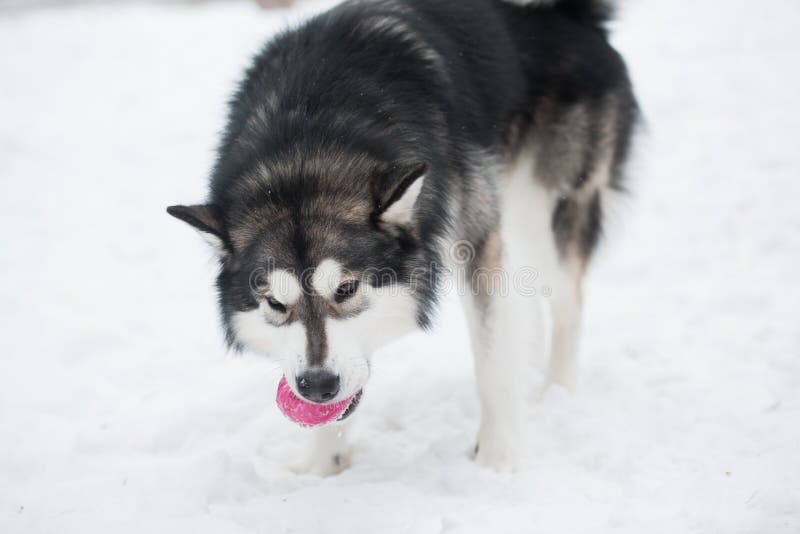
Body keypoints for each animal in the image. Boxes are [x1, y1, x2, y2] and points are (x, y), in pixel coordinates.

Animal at [167, 0, 636, 478]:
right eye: (276, 304)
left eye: (346, 289)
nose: (317, 385)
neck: (306, 136)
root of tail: (576, 18)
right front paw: (323, 467)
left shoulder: (476, 244)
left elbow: (492, 362)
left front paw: (500, 458)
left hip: (541, 209)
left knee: (565, 303)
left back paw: (556, 392)